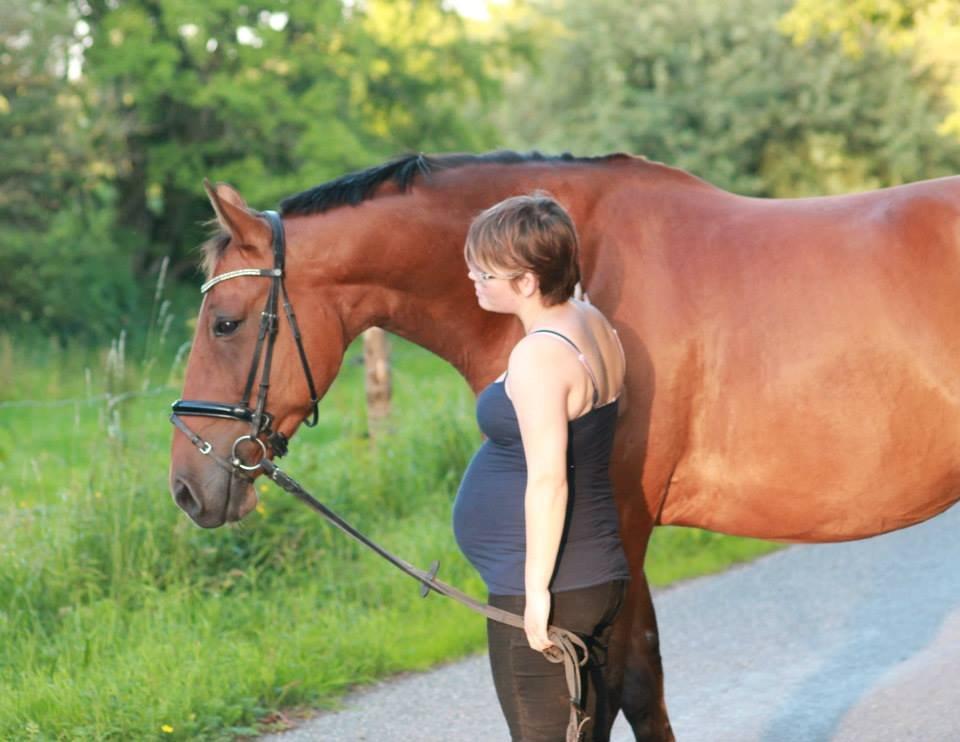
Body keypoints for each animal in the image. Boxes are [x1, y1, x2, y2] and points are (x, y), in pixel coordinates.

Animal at [169, 148, 960, 740]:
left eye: (226, 323)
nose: (187, 485)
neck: (584, 274)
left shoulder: (619, 522)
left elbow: (617, 688)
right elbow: (642, 686)